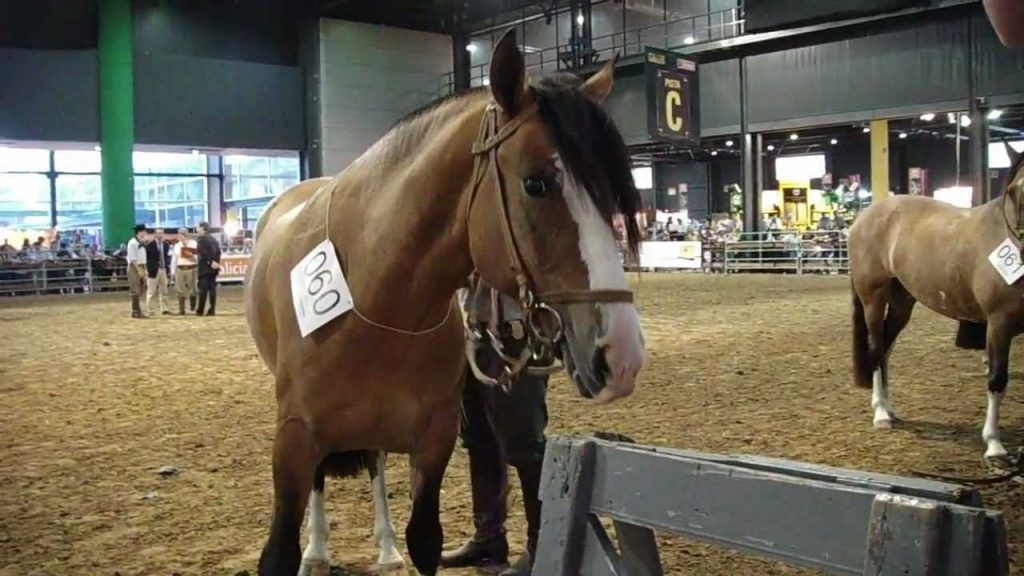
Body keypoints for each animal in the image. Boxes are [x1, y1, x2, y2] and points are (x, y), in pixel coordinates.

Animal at [244, 27, 646, 576]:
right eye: (535, 183)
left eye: (610, 194)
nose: (622, 355)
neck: (377, 301)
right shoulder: (293, 441)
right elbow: (279, 549)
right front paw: (309, 548)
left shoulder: (434, 442)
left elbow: (425, 539)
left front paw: (400, 545)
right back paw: (320, 550)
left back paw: (385, 547)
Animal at [849, 143, 1024, 460]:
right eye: (1015, 191)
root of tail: (863, 218)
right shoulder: (998, 325)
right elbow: (997, 379)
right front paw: (993, 443)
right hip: (873, 298)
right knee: (876, 348)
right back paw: (881, 414)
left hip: (902, 302)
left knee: (886, 349)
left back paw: (888, 407)